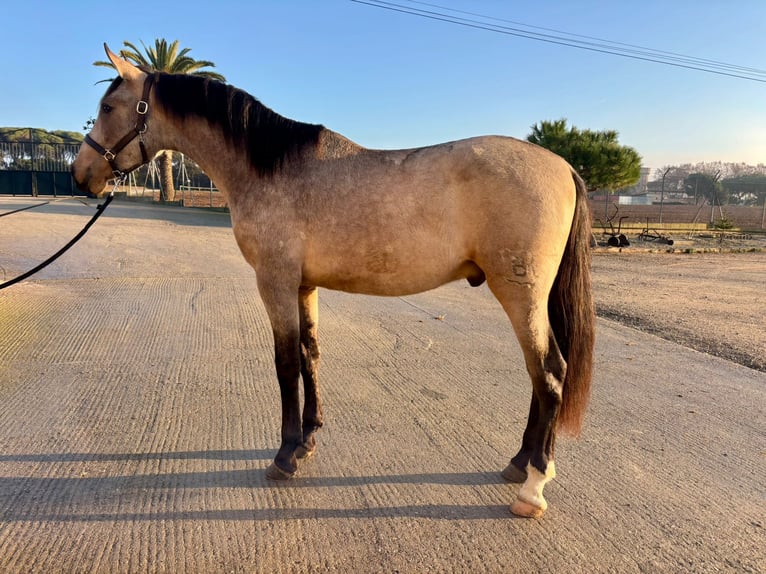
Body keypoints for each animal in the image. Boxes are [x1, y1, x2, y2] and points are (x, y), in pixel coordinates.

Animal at [72, 44, 595, 518]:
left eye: (108, 107)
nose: (81, 175)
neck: (271, 168)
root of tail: (563, 167)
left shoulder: (276, 283)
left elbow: (285, 364)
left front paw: (284, 456)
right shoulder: (304, 287)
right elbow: (310, 355)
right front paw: (308, 439)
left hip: (521, 295)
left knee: (549, 374)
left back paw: (533, 486)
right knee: (541, 376)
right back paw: (520, 462)